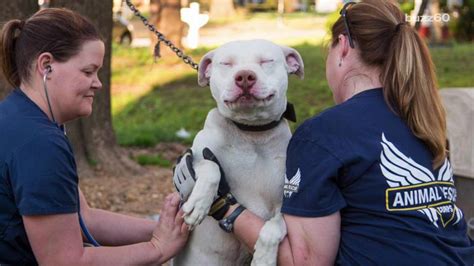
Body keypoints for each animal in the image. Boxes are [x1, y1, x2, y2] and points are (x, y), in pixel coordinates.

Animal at [173, 39, 304, 266]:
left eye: (266, 61)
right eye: (226, 64)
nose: (244, 76)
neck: (252, 135)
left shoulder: (284, 205)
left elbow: (276, 226)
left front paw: (264, 257)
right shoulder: (193, 157)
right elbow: (211, 167)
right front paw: (199, 204)